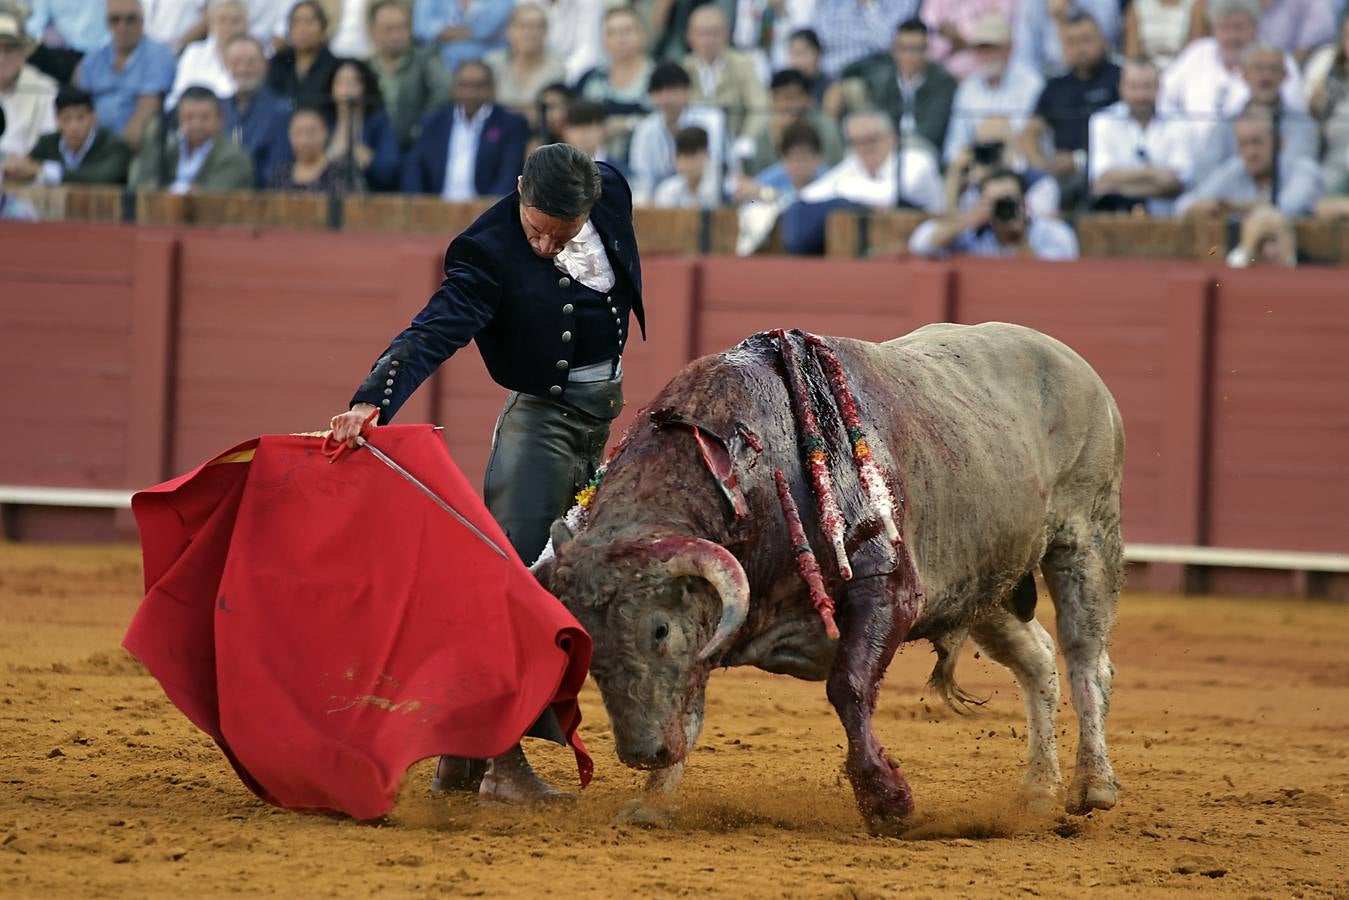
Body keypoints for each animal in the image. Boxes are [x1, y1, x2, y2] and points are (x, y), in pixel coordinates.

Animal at [531, 319, 1122, 836]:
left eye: (659, 630)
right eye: (591, 648)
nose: (641, 753)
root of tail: (1077, 366)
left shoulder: (887, 589)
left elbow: (849, 687)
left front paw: (887, 801)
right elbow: (688, 707)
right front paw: (652, 804)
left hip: (1087, 538)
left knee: (1086, 659)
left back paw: (1093, 785)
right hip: (985, 587)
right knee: (1038, 659)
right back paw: (1037, 792)